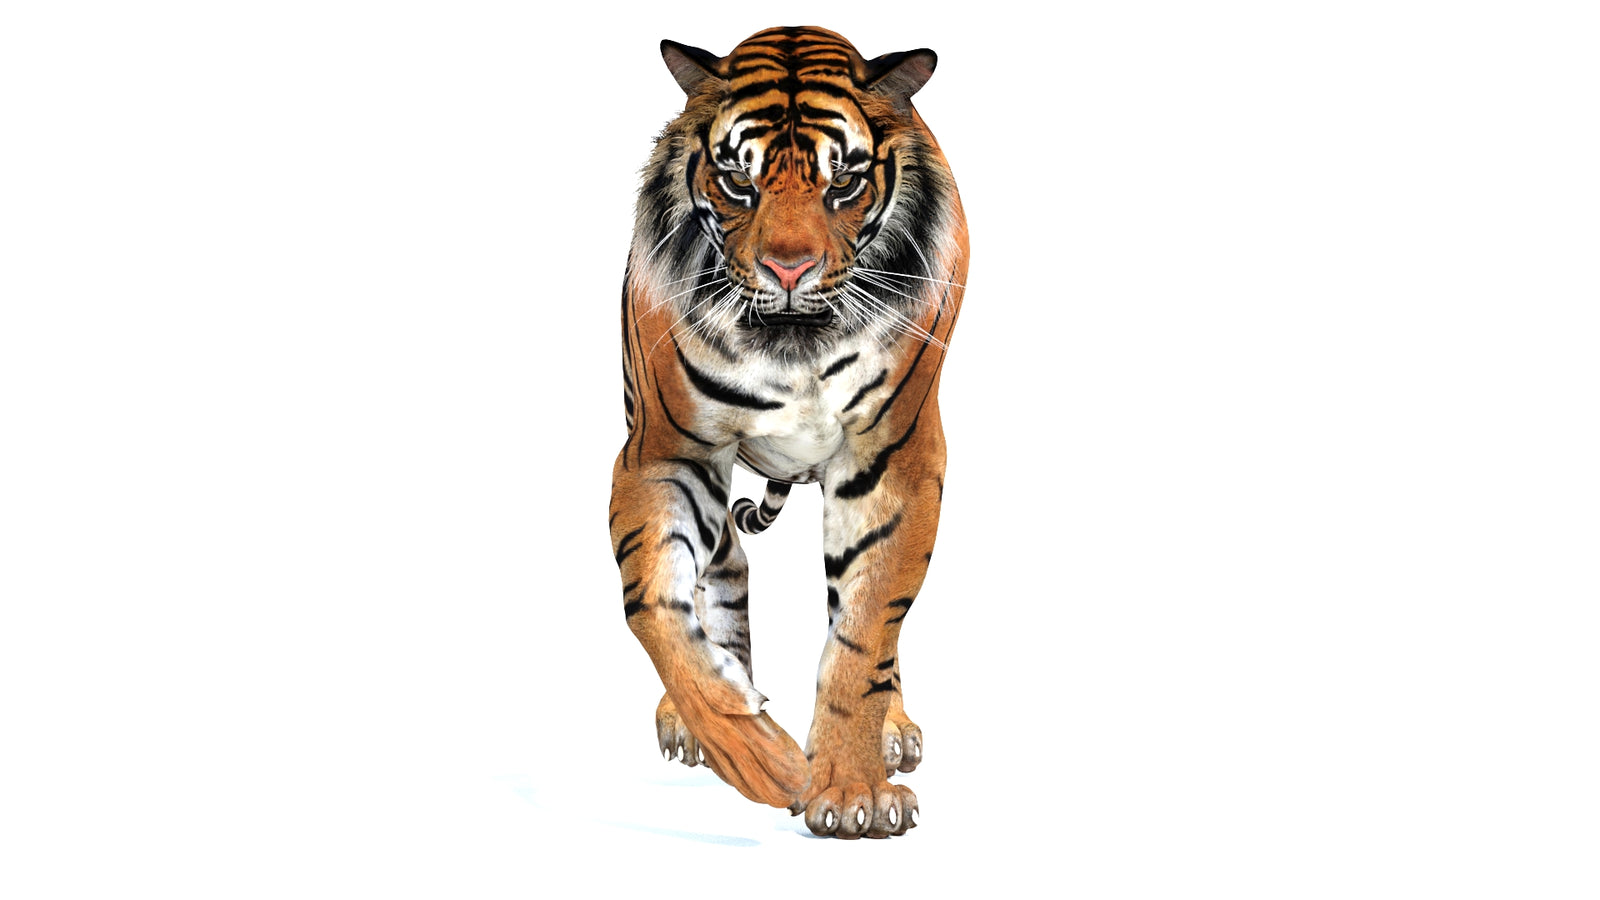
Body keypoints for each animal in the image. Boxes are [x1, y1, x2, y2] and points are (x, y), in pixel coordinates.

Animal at [608, 25, 968, 839]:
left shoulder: (894, 459)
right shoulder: (664, 452)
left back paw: (893, 729)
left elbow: (864, 635)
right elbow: (655, 605)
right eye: (739, 184)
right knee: (723, 571)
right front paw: (759, 757)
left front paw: (853, 790)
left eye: (845, 184)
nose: (789, 269)